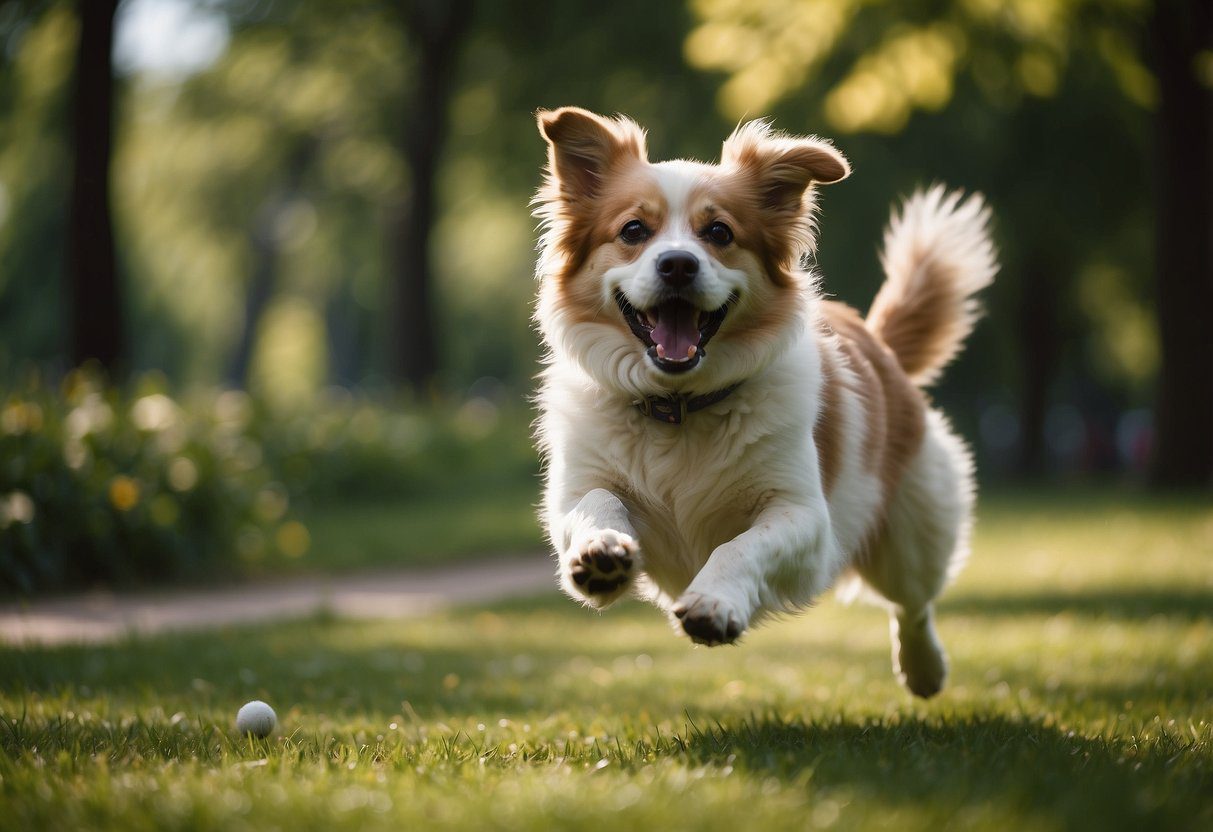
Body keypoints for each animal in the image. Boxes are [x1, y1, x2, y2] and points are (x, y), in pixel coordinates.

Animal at [531, 109, 994, 698]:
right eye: (634, 230)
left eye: (719, 232)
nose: (678, 264)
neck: (680, 407)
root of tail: (878, 341)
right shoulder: (577, 489)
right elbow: (595, 504)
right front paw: (601, 554)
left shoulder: (804, 515)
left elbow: (740, 547)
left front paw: (713, 602)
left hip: (913, 532)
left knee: (913, 603)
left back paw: (924, 669)